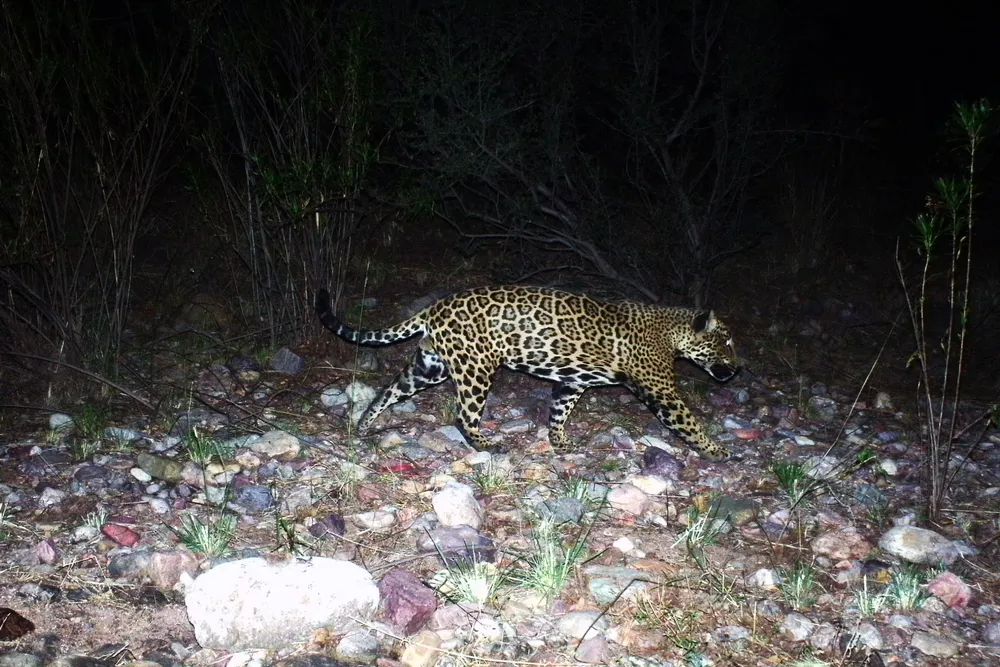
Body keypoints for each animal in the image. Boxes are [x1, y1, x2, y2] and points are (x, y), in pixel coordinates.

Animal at [315, 286, 741, 460]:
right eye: (727, 342)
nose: (738, 368)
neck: (672, 332)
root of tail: (435, 307)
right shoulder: (661, 389)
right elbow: (689, 421)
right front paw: (717, 451)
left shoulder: (571, 382)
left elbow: (559, 412)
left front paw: (560, 441)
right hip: (476, 368)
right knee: (463, 415)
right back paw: (485, 444)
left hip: (430, 367)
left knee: (388, 390)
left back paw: (365, 424)